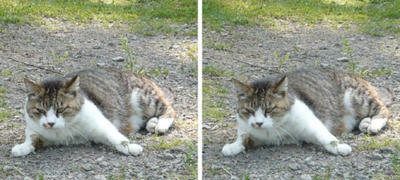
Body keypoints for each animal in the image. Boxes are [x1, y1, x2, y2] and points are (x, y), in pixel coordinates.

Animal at [11, 68, 175, 156]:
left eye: (61, 109)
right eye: (40, 110)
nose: (50, 123)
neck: (62, 131)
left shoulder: (100, 123)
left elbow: (115, 137)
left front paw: (131, 147)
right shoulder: (35, 128)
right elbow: (32, 137)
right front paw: (23, 147)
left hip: (143, 98)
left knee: (170, 110)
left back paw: (161, 125)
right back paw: (152, 123)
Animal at [222, 68, 394, 155]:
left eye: (270, 109)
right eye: (249, 110)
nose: (258, 123)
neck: (272, 130)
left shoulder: (311, 122)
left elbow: (325, 136)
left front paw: (339, 147)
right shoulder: (250, 131)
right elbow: (242, 137)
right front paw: (233, 146)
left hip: (357, 97)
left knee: (383, 108)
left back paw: (374, 124)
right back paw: (365, 123)